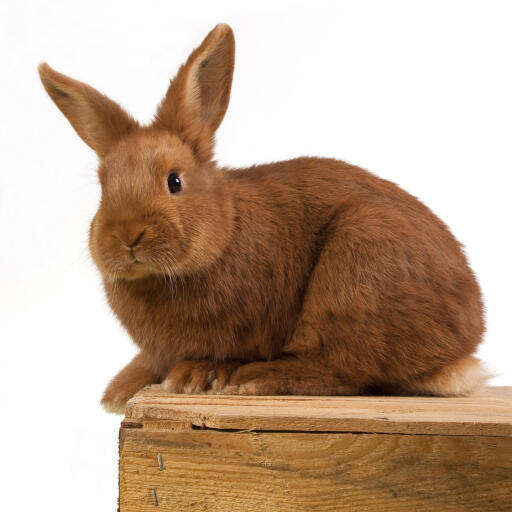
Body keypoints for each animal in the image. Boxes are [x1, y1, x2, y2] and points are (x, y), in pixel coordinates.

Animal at [39, 25, 488, 416]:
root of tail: (463, 346)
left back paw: (256, 378)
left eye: (174, 181)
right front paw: (120, 390)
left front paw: (196, 374)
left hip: (358, 269)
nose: (127, 236)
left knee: (343, 370)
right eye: (103, 186)